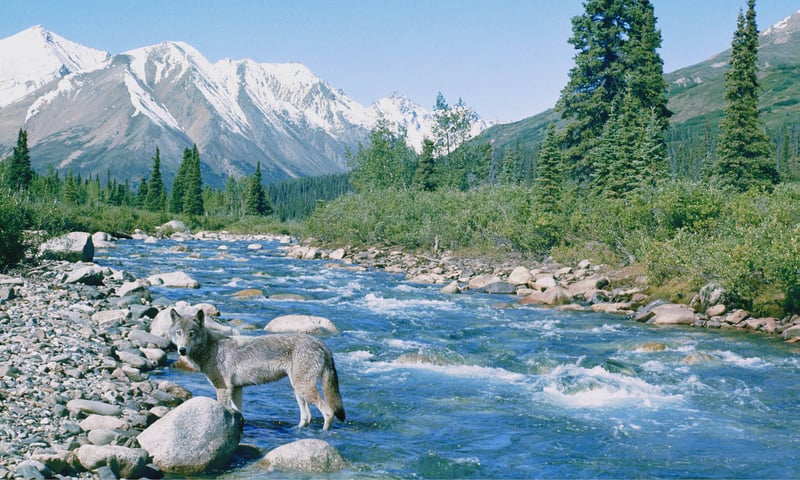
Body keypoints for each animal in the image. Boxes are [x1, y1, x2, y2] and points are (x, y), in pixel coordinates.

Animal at [168, 309, 345, 430]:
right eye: (178, 333)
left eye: (191, 333)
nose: (182, 350)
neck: (210, 347)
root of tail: (320, 343)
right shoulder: (237, 389)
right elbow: (239, 413)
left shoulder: (223, 388)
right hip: (297, 389)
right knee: (307, 417)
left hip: (303, 388)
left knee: (328, 412)